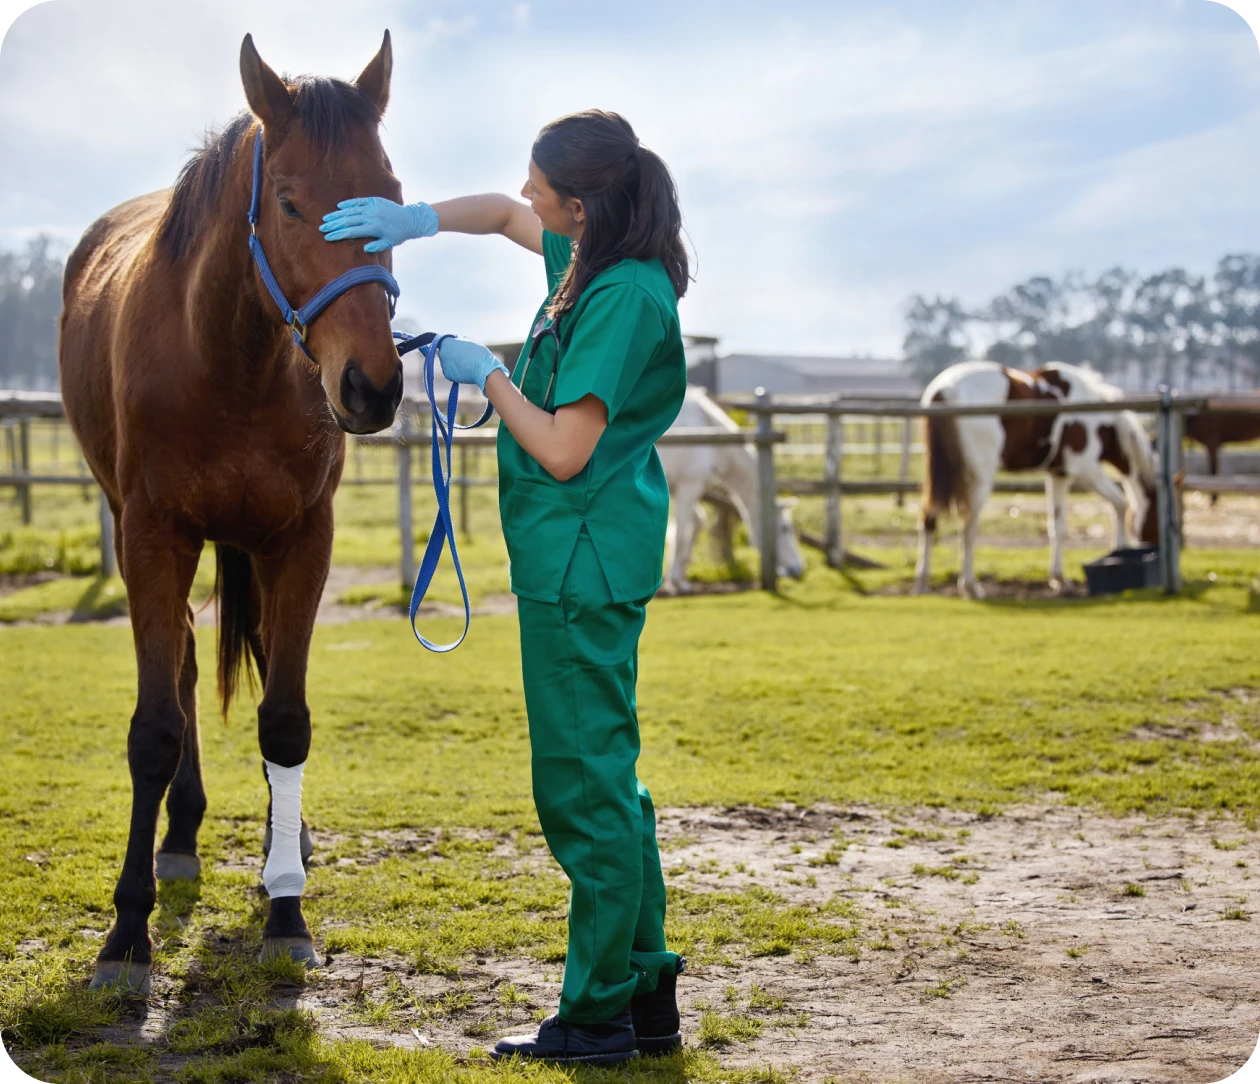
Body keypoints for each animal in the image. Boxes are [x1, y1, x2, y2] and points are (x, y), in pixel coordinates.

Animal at [58, 33, 405, 992]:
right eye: (288, 202)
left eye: (392, 193)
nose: (371, 384)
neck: (228, 359)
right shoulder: (152, 535)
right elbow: (153, 729)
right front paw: (125, 931)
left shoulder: (303, 540)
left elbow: (285, 720)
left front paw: (286, 911)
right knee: (178, 663)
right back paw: (179, 837)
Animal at [658, 385, 804, 594]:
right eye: (785, 529)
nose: (797, 569)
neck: (711, 436)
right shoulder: (689, 485)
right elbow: (680, 535)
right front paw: (674, 583)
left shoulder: (680, 489)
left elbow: (695, 525)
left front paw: (679, 580)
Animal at [913, 361, 1158, 598]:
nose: (1154, 545)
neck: (1098, 417)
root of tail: (945, 389)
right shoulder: (1085, 469)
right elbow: (1121, 504)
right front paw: (1119, 551)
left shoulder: (1058, 474)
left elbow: (1058, 526)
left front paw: (1059, 580)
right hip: (980, 476)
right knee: (969, 525)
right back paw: (971, 586)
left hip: (939, 475)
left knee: (929, 518)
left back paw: (923, 582)